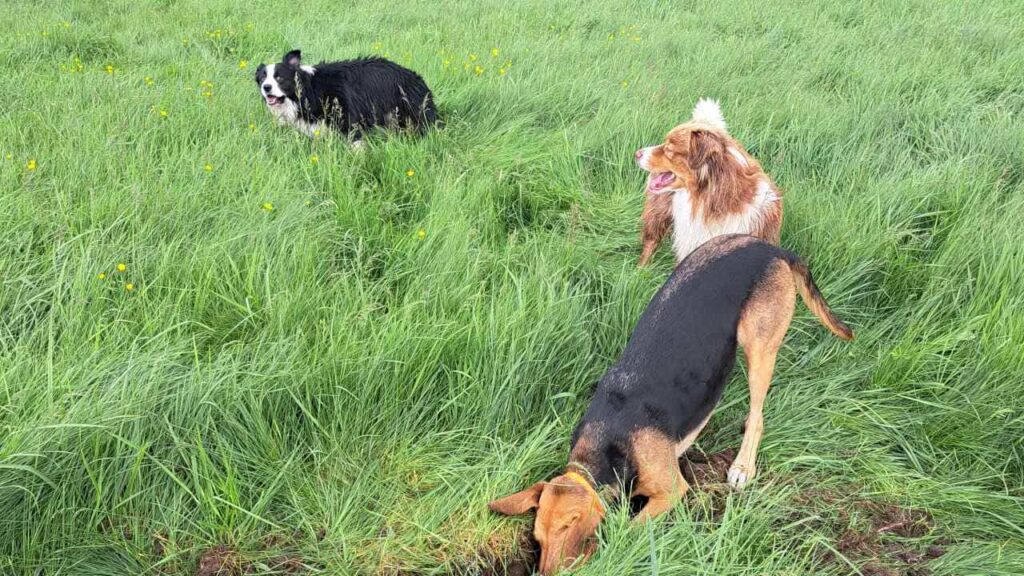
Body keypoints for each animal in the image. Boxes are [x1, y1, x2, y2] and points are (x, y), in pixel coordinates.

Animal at [256, 50, 436, 142]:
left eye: (279, 77)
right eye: (262, 78)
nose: (266, 88)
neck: (309, 90)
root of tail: (416, 78)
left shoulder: (347, 116)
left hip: (415, 113)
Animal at [491, 234, 851, 573]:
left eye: (568, 527)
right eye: (537, 537)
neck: (608, 443)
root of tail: (769, 248)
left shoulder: (672, 490)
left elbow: (629, 530)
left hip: (760, 348)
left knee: (757, 415)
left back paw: (742, 466)